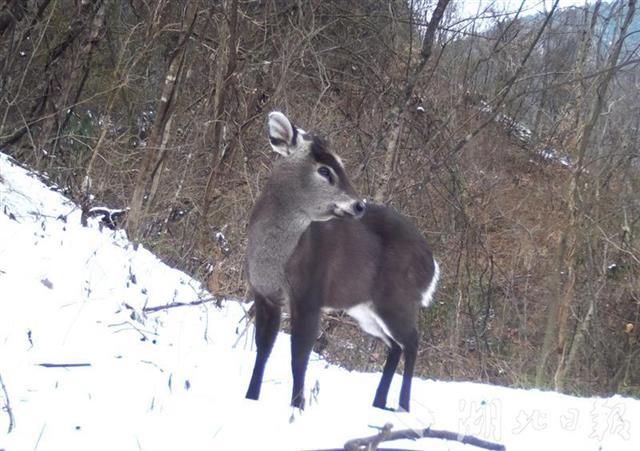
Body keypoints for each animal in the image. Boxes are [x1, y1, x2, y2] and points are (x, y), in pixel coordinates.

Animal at [242, 111, 438, 412]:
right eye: (325, 170)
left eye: (341, 164)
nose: (359, 205)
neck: (274, 260)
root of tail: (433, 266)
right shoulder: (265, 295)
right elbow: (263, 350)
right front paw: (250, 397)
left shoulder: (309, 294)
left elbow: (299, 357)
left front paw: (297, 407)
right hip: (365, 310)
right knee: (395, 346)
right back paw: (379, 403)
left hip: (398, 300)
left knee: (413, 342)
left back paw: (402, 406)